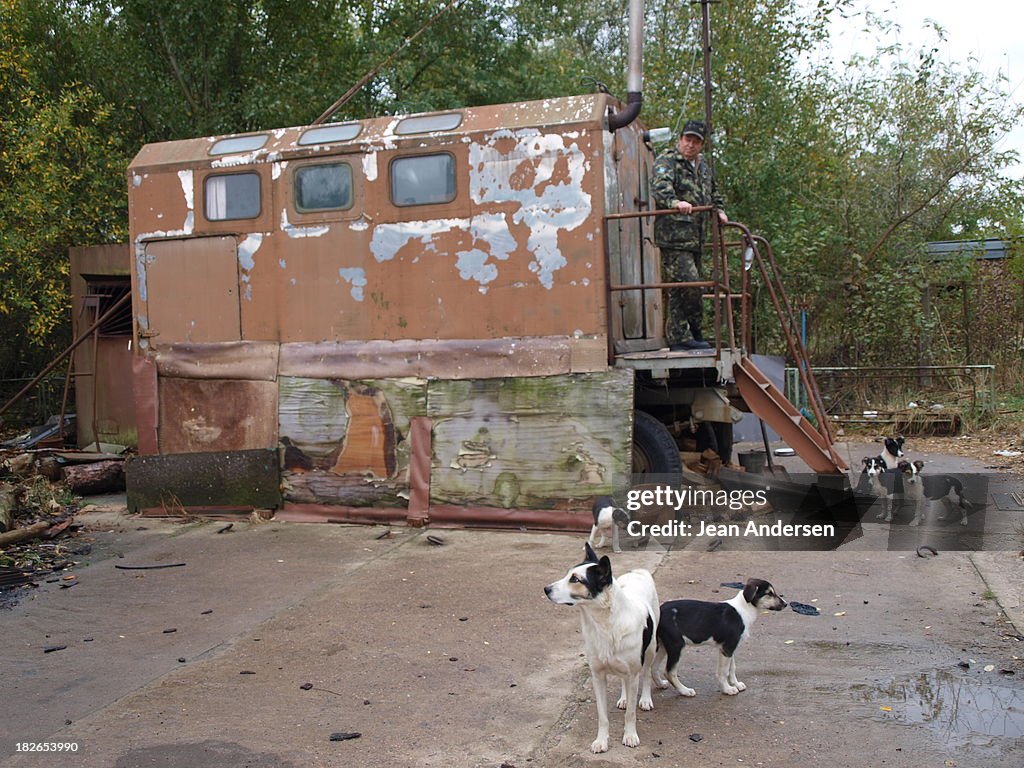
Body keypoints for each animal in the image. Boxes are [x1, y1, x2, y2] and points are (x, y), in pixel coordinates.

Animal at [544, 544, 655, 753]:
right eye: (568, 574)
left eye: (575, 579)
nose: (546, 589)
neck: (604, 623)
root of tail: (637, 572)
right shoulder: (597, 675)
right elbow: (602, 716)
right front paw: (601, 740)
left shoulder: (633, 672)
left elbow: (630, 714)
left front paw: (630, 735)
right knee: (624, 682)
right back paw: (624, 698)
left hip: (650, 650)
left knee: (647, 674)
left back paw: (645, 699)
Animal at [651, 581, 786, 696]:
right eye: (769, 593)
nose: (785, 604)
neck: (745, 609)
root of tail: (659, 610)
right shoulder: (727, 648)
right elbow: (724, 671)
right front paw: (727, 689)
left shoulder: (730, 648)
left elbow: (732, 668)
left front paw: (736, 684)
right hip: (676, 645)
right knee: (669, 672)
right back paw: (685, 691)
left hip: (663, 645)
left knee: (654, 667)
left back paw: (661, 684)